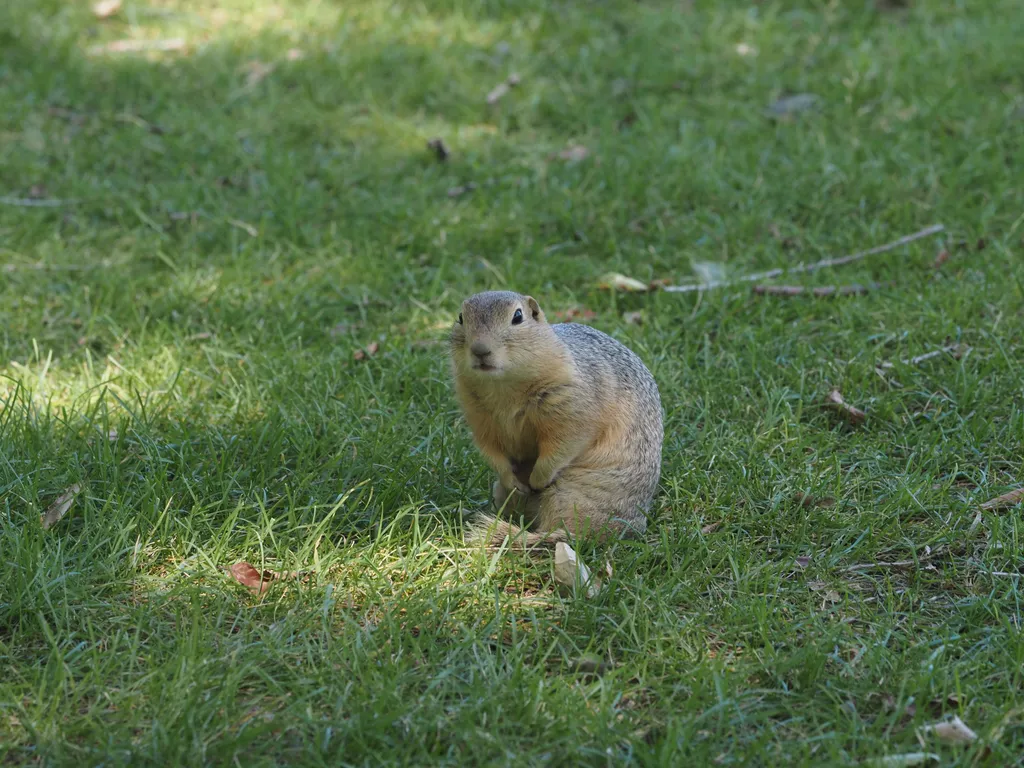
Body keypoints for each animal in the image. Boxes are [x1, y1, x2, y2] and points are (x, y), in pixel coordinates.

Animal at [450, 290, 663, 548]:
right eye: (461, 317)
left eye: (518, 316)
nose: (480, 350)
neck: (503, 388)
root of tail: (621, 529)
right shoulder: (480, 419)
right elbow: (492, 452)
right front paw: (512, 480)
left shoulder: (573, 408)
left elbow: (564, 444)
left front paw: (538, 478)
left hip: (571, 495)